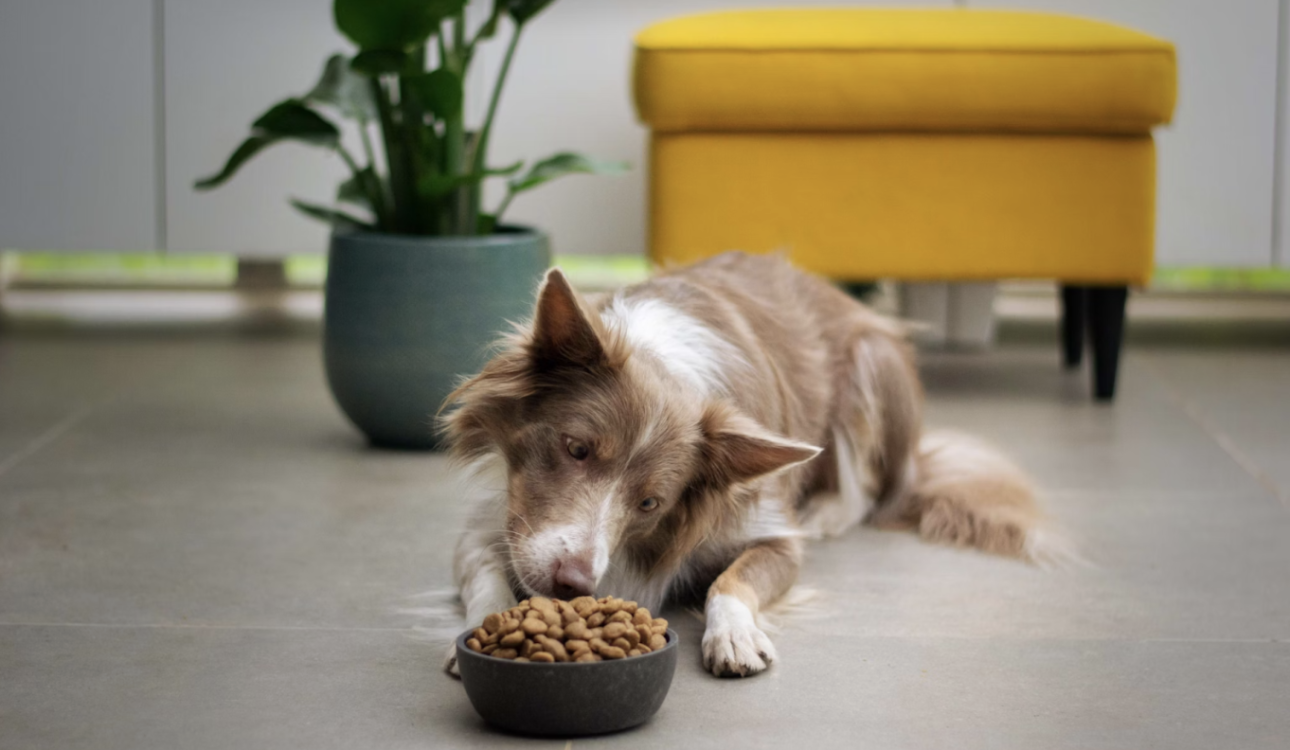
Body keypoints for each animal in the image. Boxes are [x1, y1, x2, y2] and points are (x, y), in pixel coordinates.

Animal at [438, 253, 1052, 676]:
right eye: (575, 448)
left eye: (650, 503)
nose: (573, 584)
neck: (664, 363)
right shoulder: (497, 520)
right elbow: (485, 573)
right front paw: (482, 629)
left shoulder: (772, 531)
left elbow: (729, 581)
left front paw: (733, 634)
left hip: (873, 365)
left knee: (873, 491)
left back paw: (829, 512)